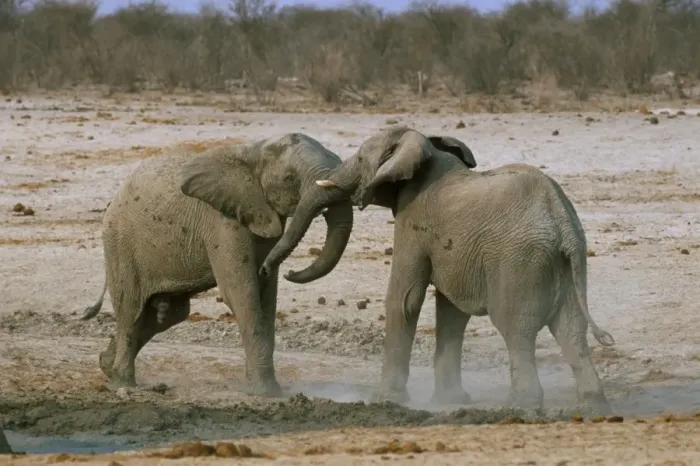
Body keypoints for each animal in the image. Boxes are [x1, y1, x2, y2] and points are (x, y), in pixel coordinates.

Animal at [81, 133, 353, 396]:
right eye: (289, 178)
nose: (286, 271)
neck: (255, 150)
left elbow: (266, 298)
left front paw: (257, 386)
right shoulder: (223, 220)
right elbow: (241, 292)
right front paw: (267, 393)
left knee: (170, 314)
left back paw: (106, 365)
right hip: (121, 244)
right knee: (131, 310)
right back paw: (123, 383)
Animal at [261, 126, 616, 414]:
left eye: (360, 158)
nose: (270, 271)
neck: (425, 150)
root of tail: (561, 218)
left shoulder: (413, 220)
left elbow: (404, 298)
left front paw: (384, 400)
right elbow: (451, 312)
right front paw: (449, 401)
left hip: (520, 262)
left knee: (517, 329)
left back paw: (521, 404)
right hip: (566, 263)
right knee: (570, 330)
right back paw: (593, 402)